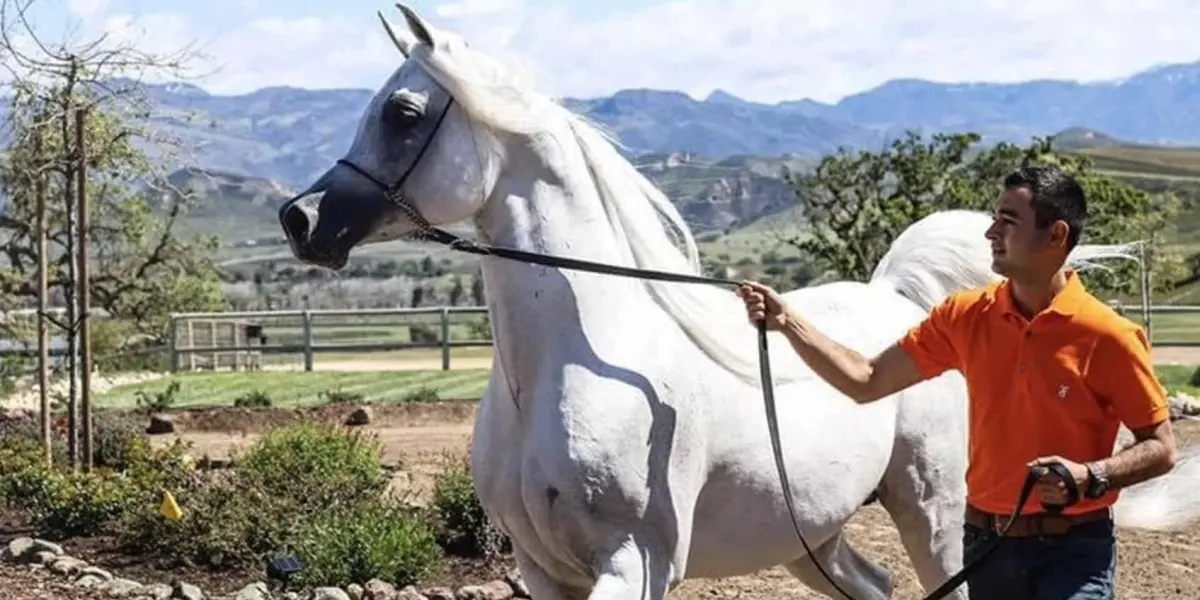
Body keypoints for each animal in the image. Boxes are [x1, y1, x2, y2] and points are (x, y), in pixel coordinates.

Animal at [276, 5, 1200, 600]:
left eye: (402, 113)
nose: (301, 219)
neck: (567, 367)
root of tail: (902, 308)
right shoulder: (544, 574)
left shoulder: (633, 564)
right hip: (810, 535)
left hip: (933, 513)